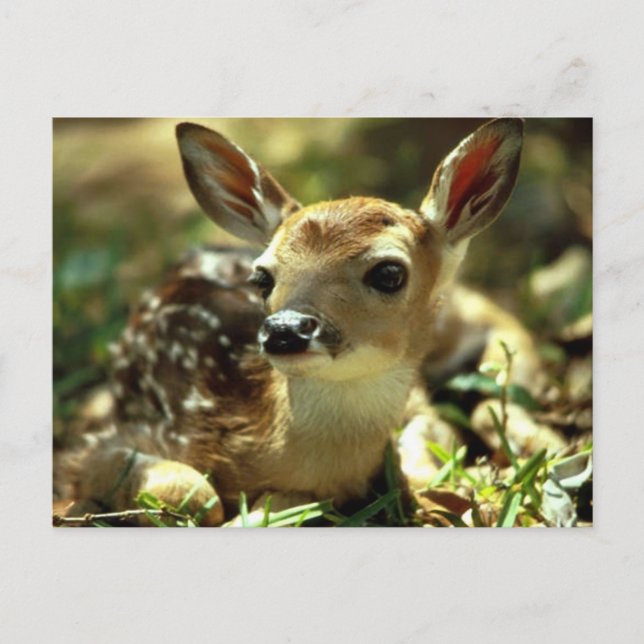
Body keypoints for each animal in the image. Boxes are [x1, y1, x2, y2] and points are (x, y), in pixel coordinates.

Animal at [62, 118, 539, 526]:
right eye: (262, 277)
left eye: (389, 272)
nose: (285, 330)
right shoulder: (101, 442)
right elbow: (197, 495)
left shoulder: (417, 407)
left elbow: (428, 452)